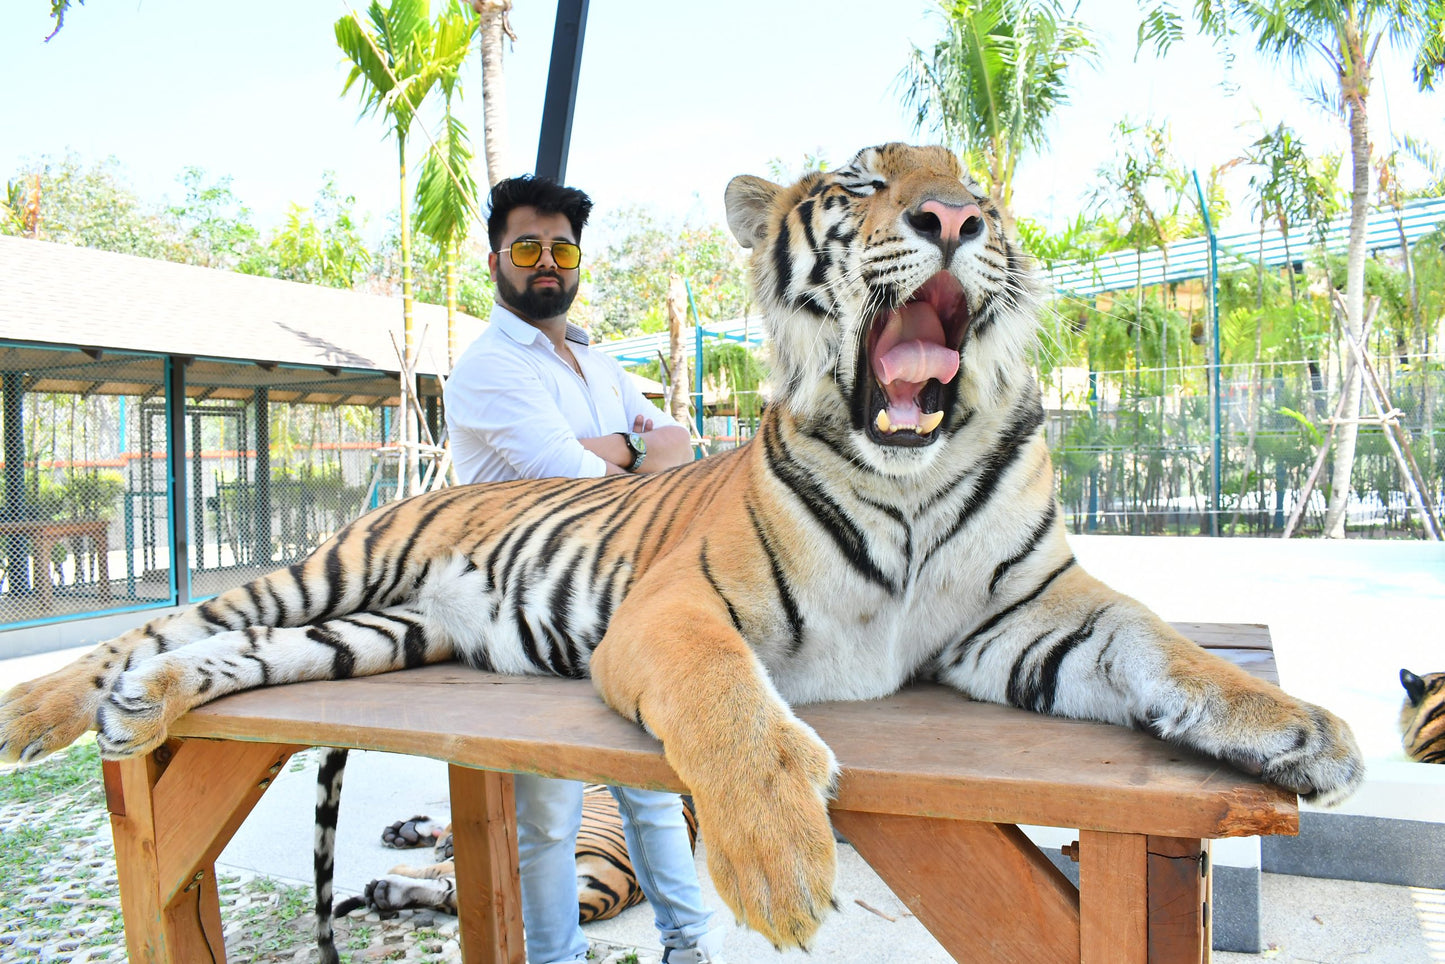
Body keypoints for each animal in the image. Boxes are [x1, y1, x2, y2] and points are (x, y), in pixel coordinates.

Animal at [0, 142, 1364, 951]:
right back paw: (53, 703)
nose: (956, 217)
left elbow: (1160, 647)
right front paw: (776, 859)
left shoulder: (1028, 620)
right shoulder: (677, 609)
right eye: (860, 182)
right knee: (164, 624)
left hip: (369, 634)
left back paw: (148, 702)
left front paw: (1296, 730)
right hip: (329, 571)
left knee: (229, 660)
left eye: (980, 185)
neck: (910, 478)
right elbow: (729, 706)